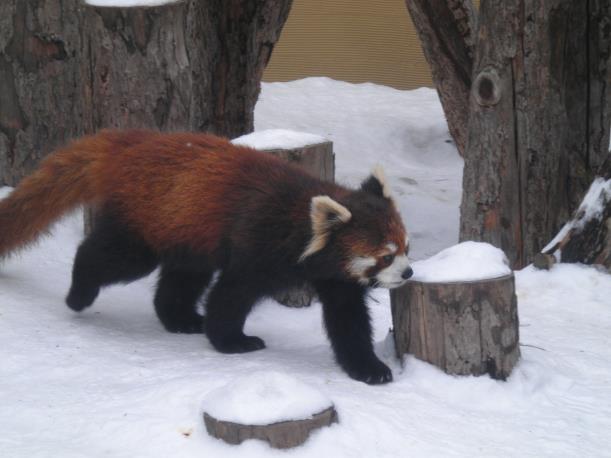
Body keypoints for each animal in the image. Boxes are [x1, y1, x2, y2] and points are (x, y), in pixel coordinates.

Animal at [1, 131, 412, 384]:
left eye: (406, 248)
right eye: (385, 256)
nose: (408, 274)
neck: (299, 224)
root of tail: (130, 143)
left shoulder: (335, 278)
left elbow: (348, 321)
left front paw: (369, 368)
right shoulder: (256, 244)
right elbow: (229, 295)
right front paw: (232, 341)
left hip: (186, 234)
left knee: (181, 280)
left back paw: (181, 319)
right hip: (145, 222)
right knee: (110, 256)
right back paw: (78, 293)